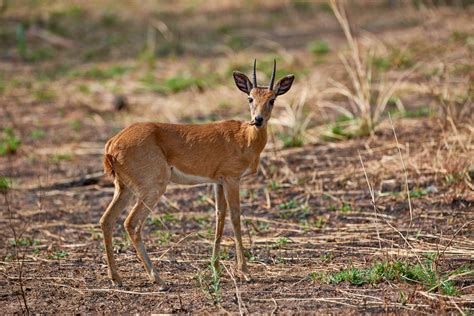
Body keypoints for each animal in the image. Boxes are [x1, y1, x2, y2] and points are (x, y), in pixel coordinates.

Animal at [101, 59, 292, 288]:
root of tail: (112, 143)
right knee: (130, 223)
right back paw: (158, 279)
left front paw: (216, 269)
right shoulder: (232, 179)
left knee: (107, 220)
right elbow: (236, 217)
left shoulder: (218, 181)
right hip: (153, 188)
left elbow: (220, 217)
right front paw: (245, 272)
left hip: (123, 188)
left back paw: (116, 278)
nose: (259, 119)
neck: (245, 138)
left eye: (272, 99)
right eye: (250, 97)